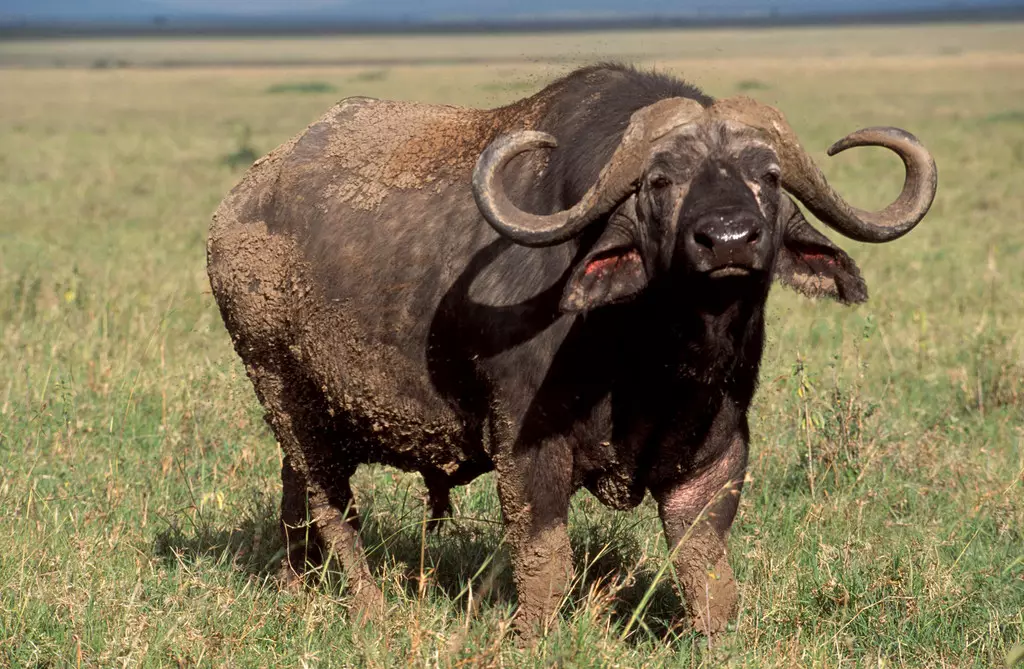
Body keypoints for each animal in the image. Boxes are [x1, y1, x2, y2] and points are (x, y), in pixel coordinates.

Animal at [207, 64, 937, 635]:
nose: (729, 240)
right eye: (660, 181)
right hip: (282, 392)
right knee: (333, 506)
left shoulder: (719, 447)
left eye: (770, 176)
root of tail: (236, 206)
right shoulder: (525, 446)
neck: (653, 356)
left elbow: (705, 569)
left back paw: (296, 589)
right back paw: (369, 609)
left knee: (295, 497)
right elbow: (546, 562)